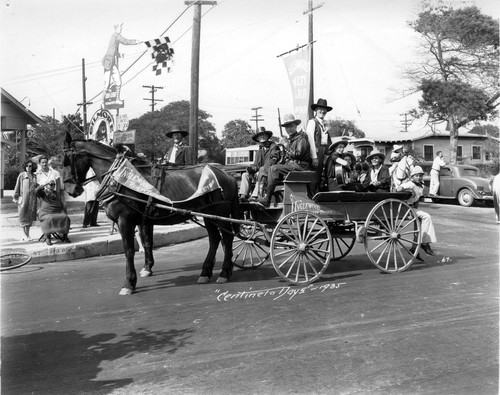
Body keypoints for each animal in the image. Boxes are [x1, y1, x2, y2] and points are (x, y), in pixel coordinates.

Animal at [63, 135, 240, 296]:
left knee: (227, 238)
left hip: (221, 214)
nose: (71, 190)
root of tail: (228, 175)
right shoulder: (143, 220)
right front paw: (146, 269)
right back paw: (205, 272)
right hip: (209, 215)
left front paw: (129, 283)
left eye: (67, 160)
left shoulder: (125, 221)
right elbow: (147, 242)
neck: (118, 178)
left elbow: (129, 251)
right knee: (215, 239)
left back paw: (224, 273)